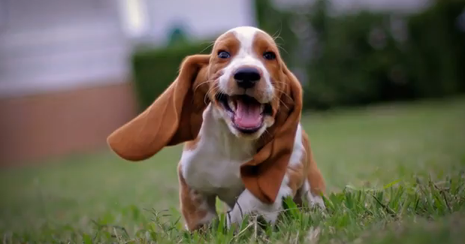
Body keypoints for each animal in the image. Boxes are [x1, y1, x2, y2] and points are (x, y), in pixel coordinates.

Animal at [108, 25, 326, 232]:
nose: (247, 74)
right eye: (222, 54)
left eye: (269, 55)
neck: (234, 144)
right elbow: (199, 216)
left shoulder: (287, 168)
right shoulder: (191, 177)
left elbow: (248, 202)